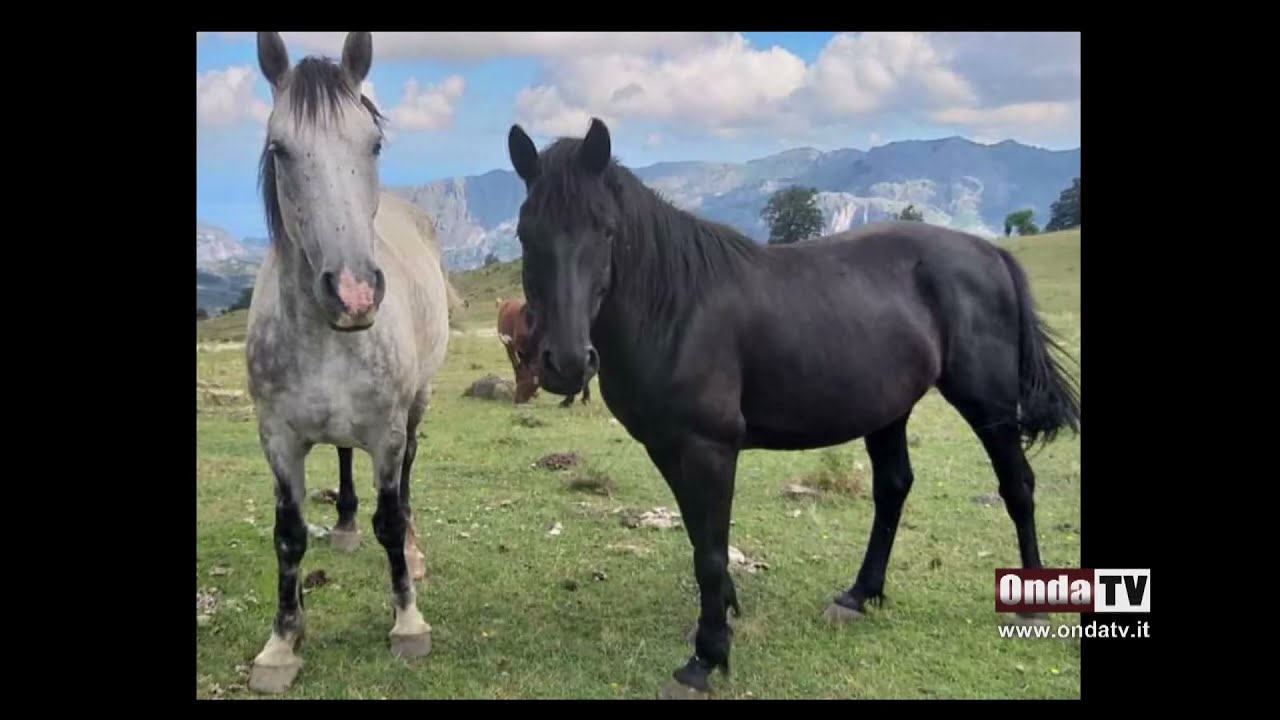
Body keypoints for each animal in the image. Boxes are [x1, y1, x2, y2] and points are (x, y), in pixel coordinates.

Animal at [243, 32, 454, 694]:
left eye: (373, 143)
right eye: (279, 149)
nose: (355, 293)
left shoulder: (386, 431)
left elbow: (390, 514)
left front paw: (408, 620)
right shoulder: (277, 438)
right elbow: (287, 537)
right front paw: (282, 643)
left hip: (416, 406)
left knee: (406, 481)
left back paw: (411, 550)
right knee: (340, 456)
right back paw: (342, 527)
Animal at [505, 118, 1081, 698]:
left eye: (605, 230)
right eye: (526, 235)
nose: (567, 363)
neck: (676, 308)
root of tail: (990, 255)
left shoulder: (710, 448)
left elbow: (709, 553)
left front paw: (706, 657)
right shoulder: (668, 448)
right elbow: (699, 538)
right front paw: (724, 615)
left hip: (987, 403)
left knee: (1017, 485)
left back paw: (1033, 606)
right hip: (887, 409)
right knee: (893, 488)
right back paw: (858, 595)